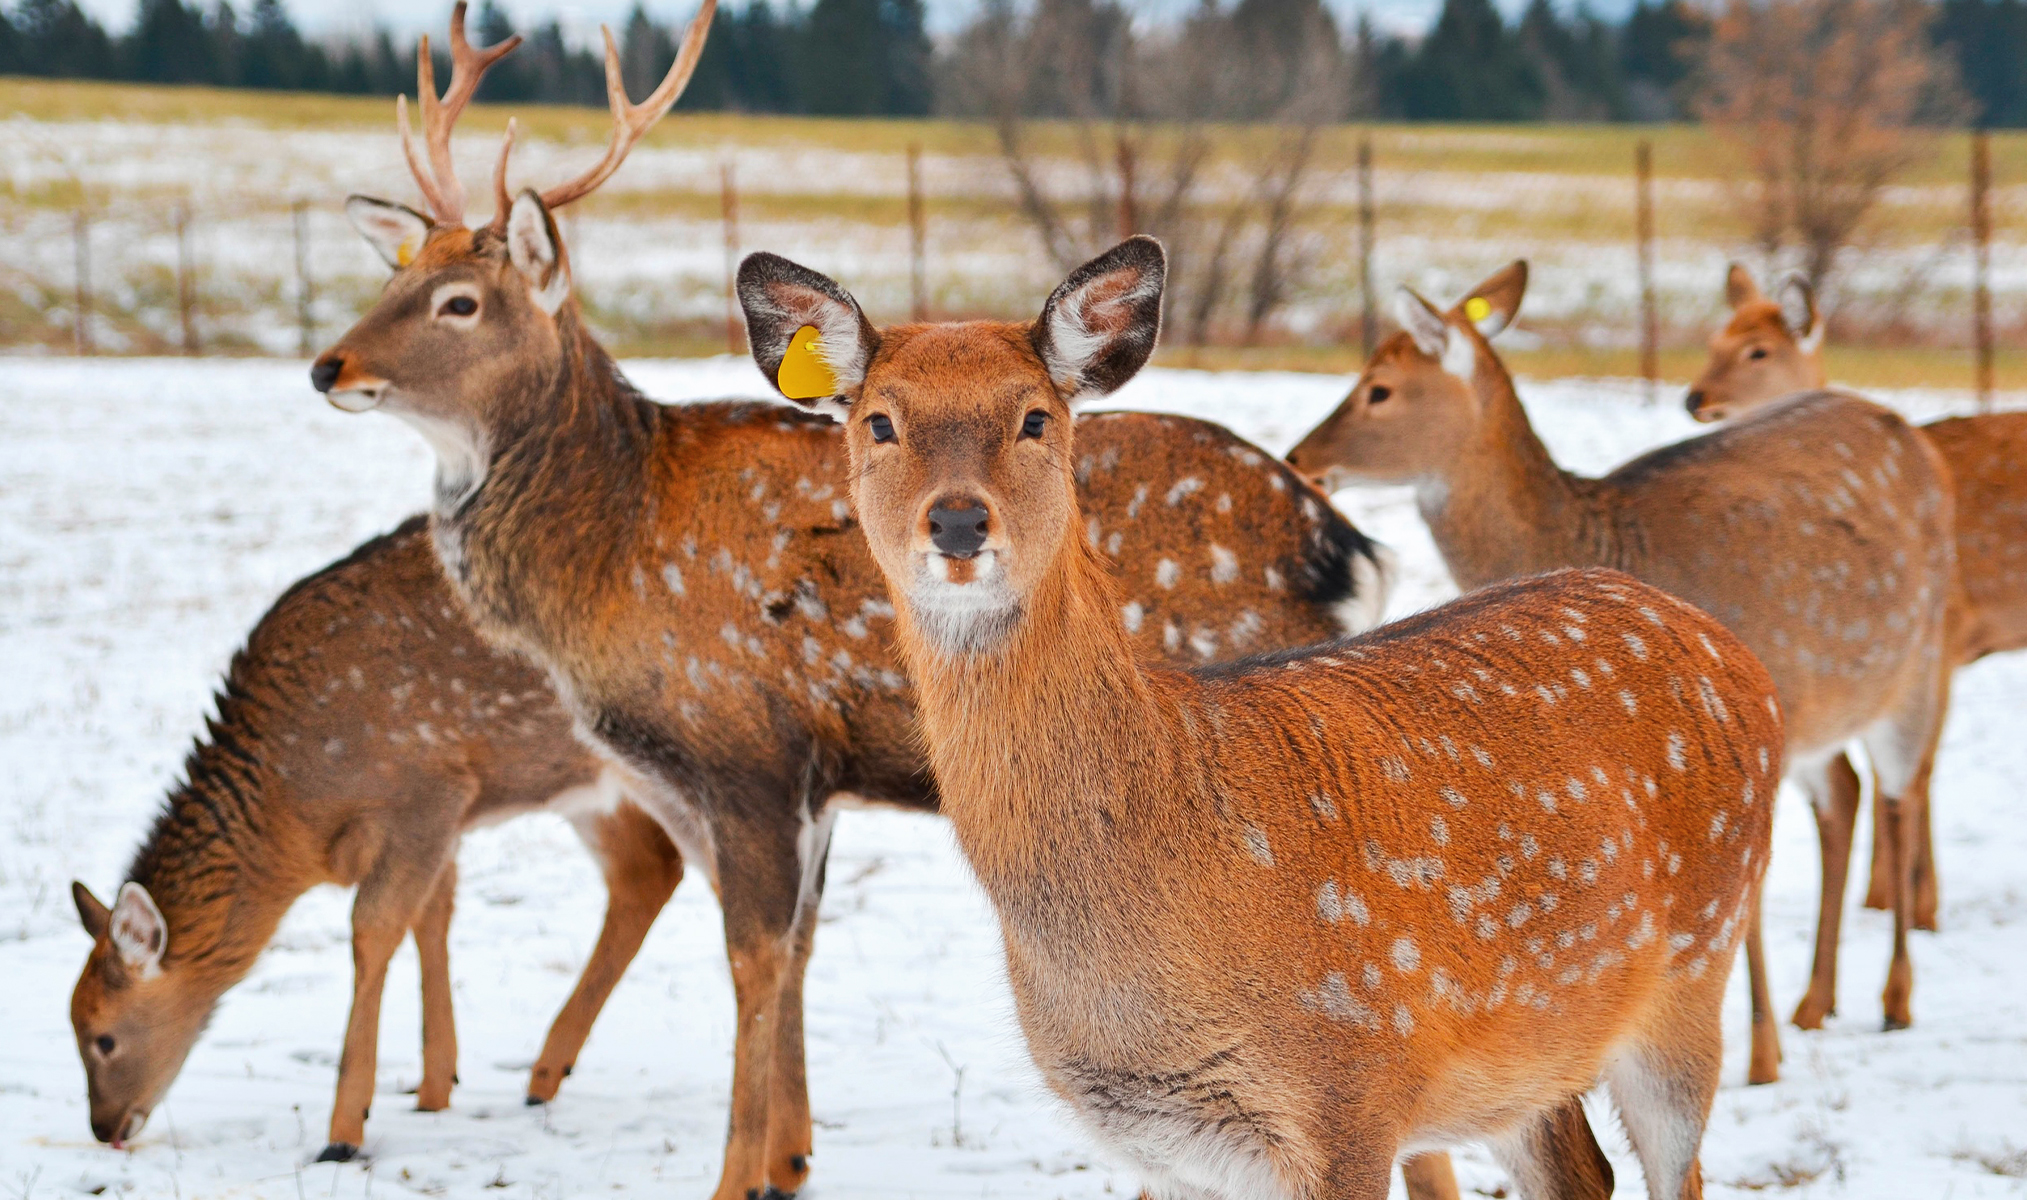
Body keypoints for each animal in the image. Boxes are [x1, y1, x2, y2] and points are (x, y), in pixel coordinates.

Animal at [67, 518, 685, 1159]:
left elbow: (375, 930)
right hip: (593, 787)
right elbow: (431, 919)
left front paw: (344, 1131)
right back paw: (545, 1075)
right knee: (648, 873)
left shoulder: (428, 795)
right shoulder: (443, 821)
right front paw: (434, 1087)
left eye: (102, 1037)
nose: (103, 1127)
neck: (295, 816)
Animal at [308, 7, 1402, 1191]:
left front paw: (738, 1171)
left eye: (459, 302)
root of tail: (1349, 550)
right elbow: (797, 948)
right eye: (393, 276)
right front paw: (791, 1157)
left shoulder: (742, 743)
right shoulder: (794, 777)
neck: (607, 554)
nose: (329, 366)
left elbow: (753, 958)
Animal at [737, 234, 1783, 1200]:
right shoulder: (1163, 1147)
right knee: (1580, 1171)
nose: (958, 521)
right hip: (1528, 1057)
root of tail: (1736, 656)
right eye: (879, 421)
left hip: (1693, 973)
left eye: (1035, 416)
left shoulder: (1353, 1091)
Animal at [1281, 259, 1962, 1054]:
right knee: (1847, 792)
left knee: (1899, 793)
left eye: (1379, 388)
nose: (1300, 459)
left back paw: (1893, 998)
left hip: (1915, 665)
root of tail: (1910, 433)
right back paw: (1815, 1002)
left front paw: (1760, 1057)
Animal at [1678, 265, 2027, 956]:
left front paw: (1919, 906)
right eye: (1713, 338)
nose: (1695, 397)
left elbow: (1915, 770)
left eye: (1758, 350)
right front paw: (1891, 896)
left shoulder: (1941, 640)